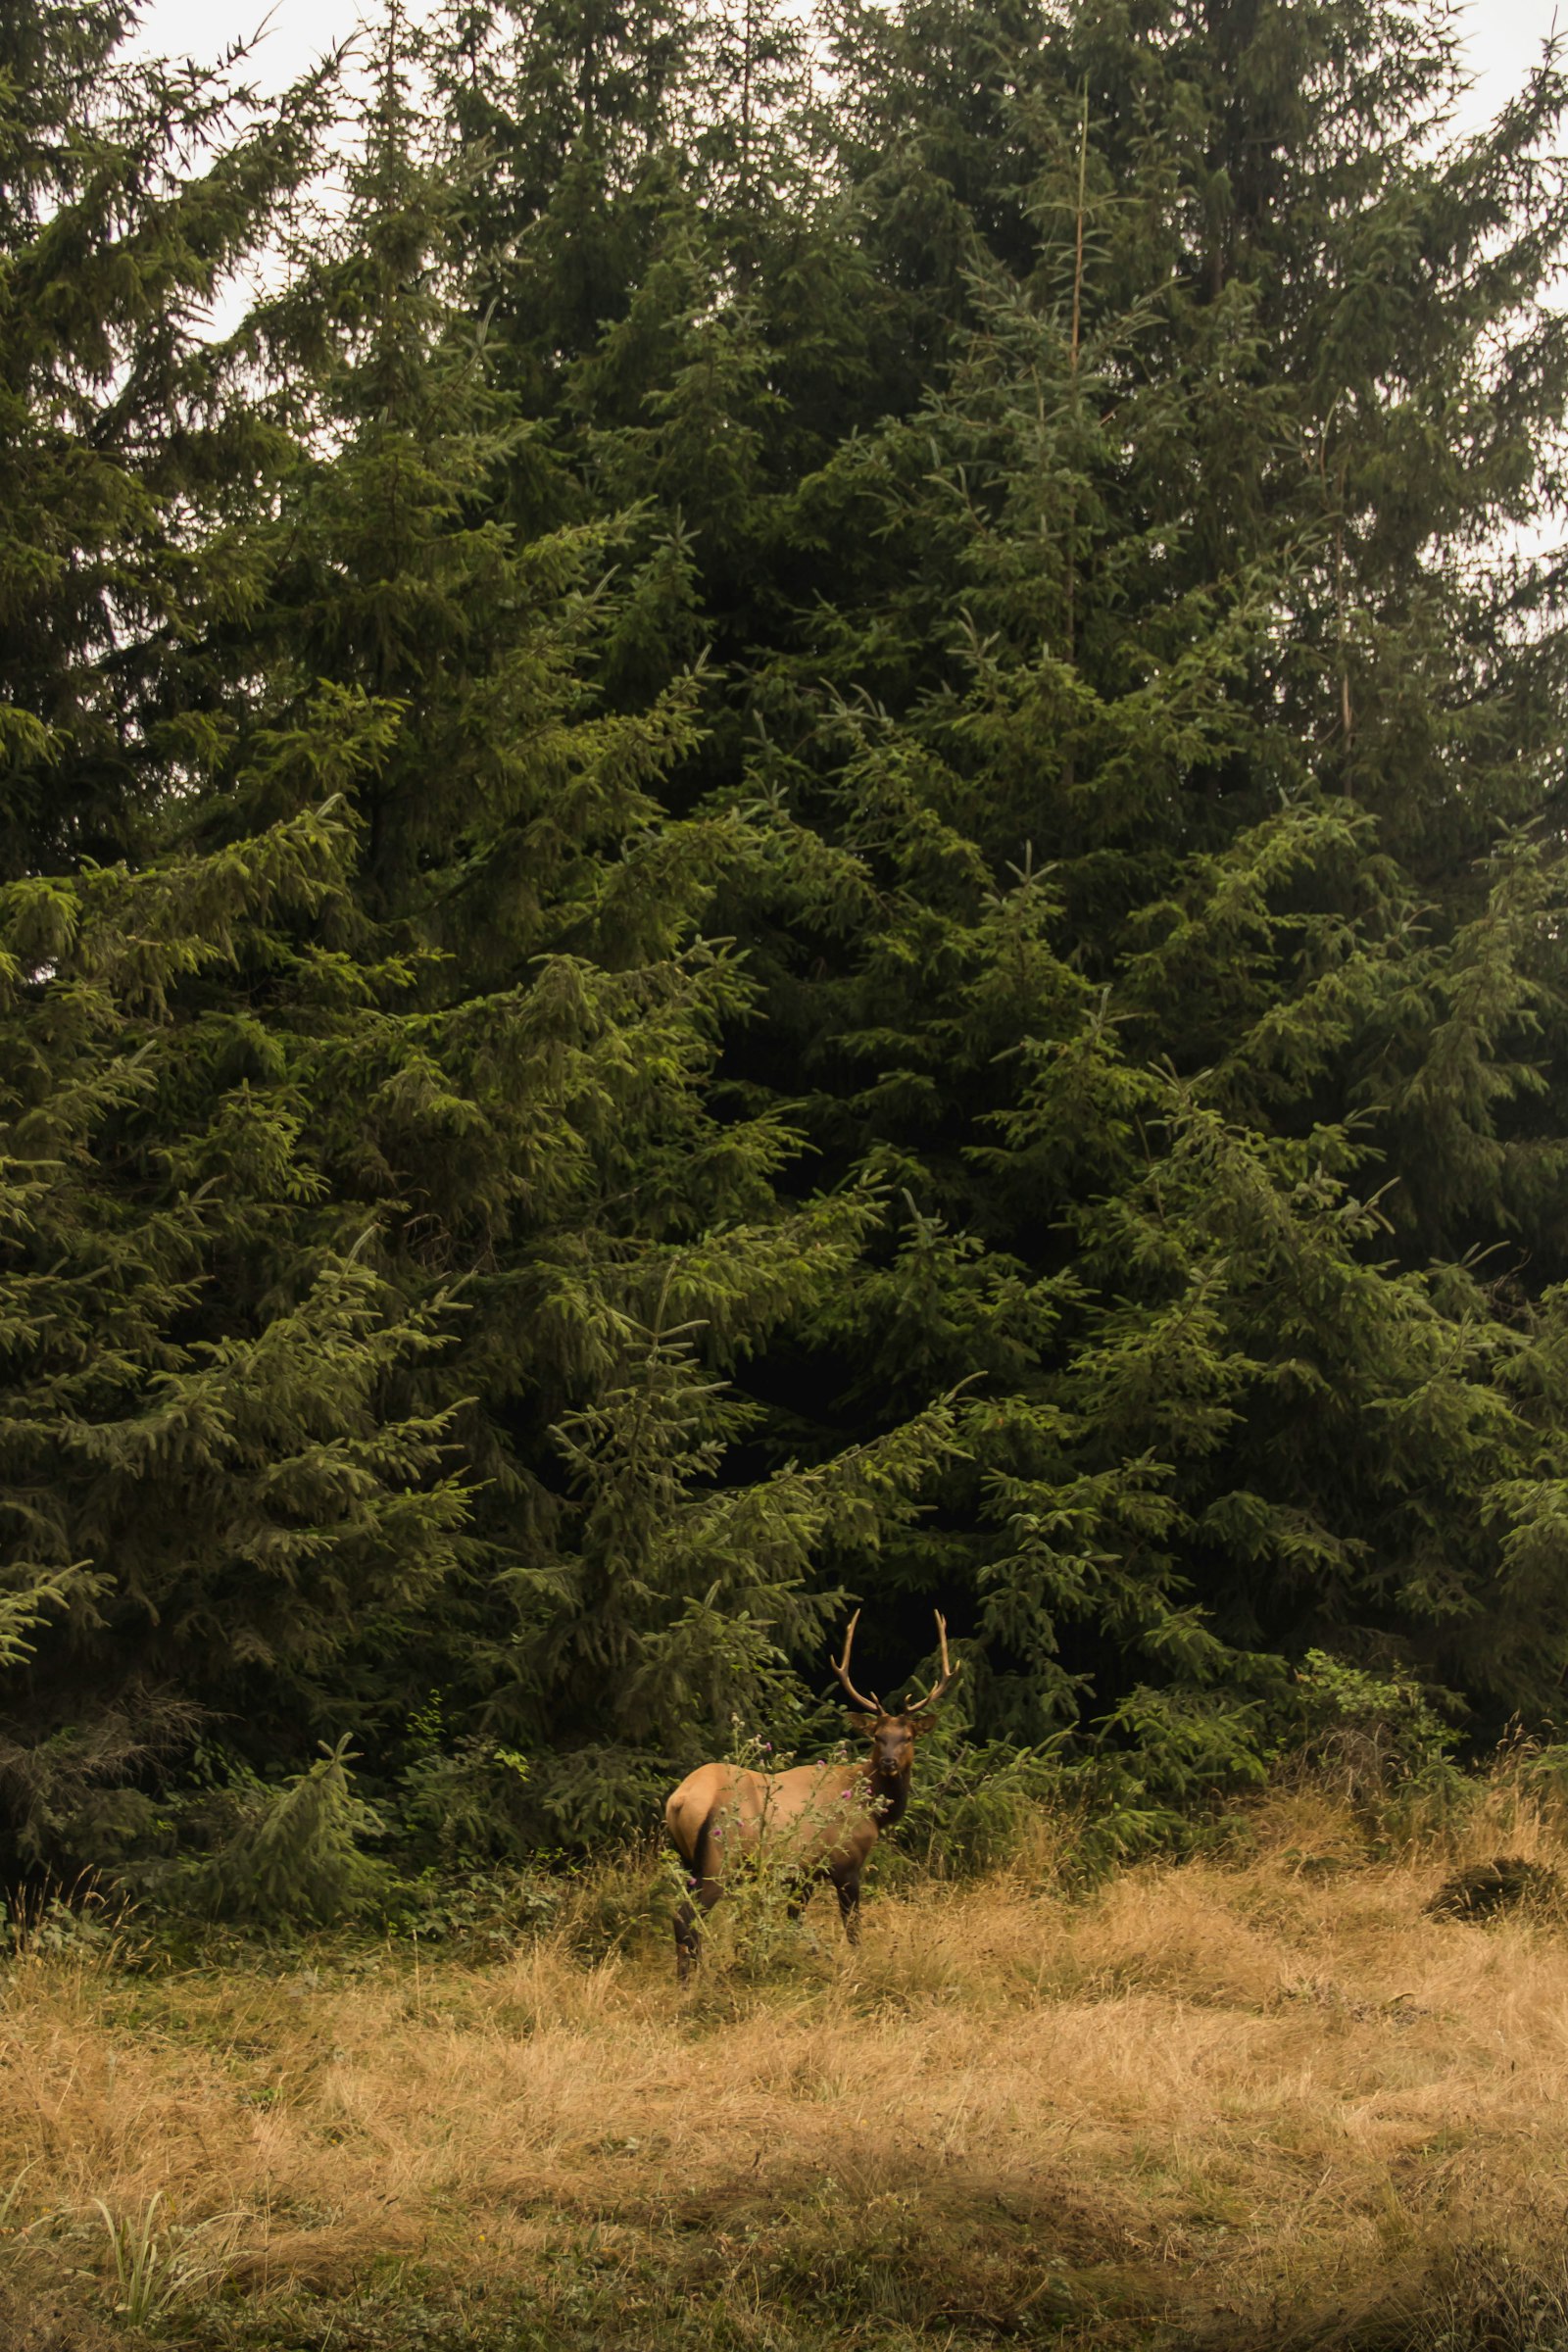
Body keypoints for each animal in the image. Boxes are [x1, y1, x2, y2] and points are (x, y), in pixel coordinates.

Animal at [658, 1608, 958, 1976]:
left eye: (908, 1737)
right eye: (877, 1737)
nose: (889, 1761)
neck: (871, 1810)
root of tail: (680, 1800)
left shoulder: (803, 1872)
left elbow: (793, 1922)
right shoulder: (844, 1861)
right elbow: (853, 1927)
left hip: (685, 1859)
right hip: (720, 1856)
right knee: (686, 1917)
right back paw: (693, 1978)